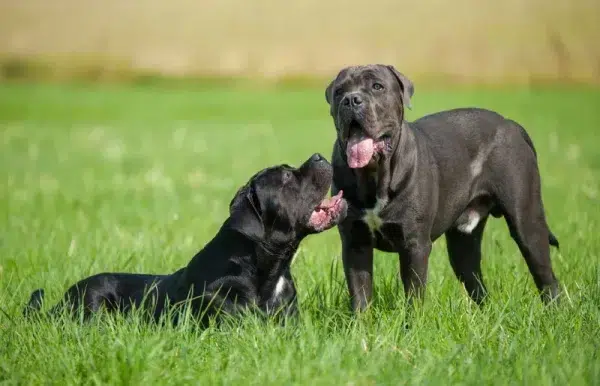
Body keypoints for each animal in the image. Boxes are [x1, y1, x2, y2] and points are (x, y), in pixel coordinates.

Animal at [326, 62, 560, 310]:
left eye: (377, 86)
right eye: (339, 91)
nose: (351, 100)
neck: (374, 176)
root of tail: (512, 125)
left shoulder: (415, 245)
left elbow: (414, 294)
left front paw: (412, 320)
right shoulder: (355, 243)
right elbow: (360, 294)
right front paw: (360, 321)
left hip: (527, 222)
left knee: (546, 277)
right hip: (463, 244)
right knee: (477, 284)